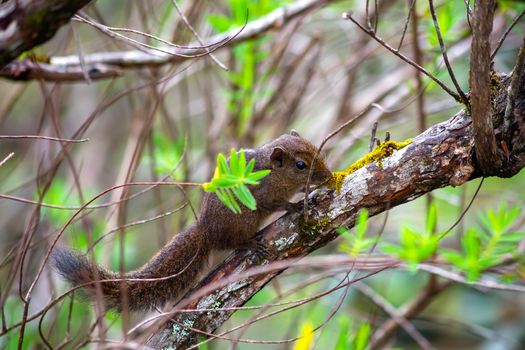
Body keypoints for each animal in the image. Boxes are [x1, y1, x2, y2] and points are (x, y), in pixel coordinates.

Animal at [52, 130, 332, 310]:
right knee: (231, 242)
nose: (327, 175)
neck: (273, 173)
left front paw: (306, 191)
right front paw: (295, 204)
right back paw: (250, 244)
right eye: (300, 165)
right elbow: (276, 204)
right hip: (244, 220)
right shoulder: (264, 196)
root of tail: (205, 231)